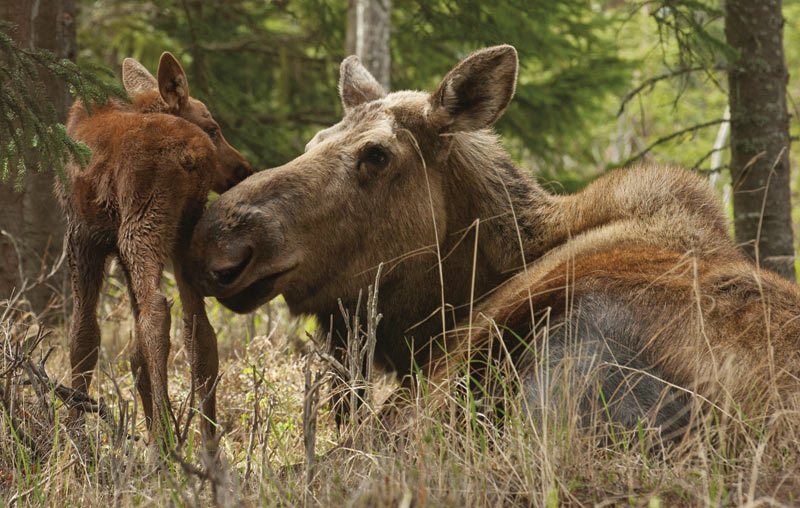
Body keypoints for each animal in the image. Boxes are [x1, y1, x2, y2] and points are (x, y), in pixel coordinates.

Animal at [57, 51, 252, 446]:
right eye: (213, 128)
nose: (243, 169)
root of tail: (190, 154)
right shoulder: (114, 251)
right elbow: (135, 356)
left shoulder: (82, 236)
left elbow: (84, 337)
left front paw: (74, 437)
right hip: (183, 232)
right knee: (199, 328)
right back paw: (206, 445)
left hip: (142, 225)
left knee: (158, 312)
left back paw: (162, 444)